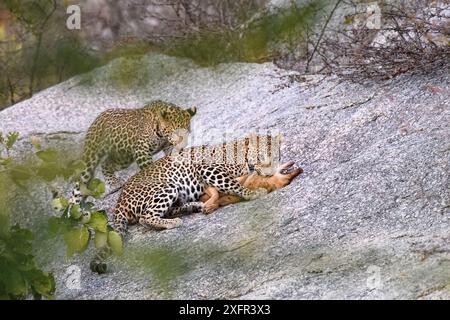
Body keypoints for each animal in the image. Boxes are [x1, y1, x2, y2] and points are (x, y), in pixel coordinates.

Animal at [90, 132, 282, 272]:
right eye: (264, 155)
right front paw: (253, 193)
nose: (272, 172)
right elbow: (233, 184)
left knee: (167, 210)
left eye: (277, 157)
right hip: (167, 186)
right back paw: (173, 222)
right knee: (145, 217)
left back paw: (194, 207)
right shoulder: (208, 168)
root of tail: (119, 201)